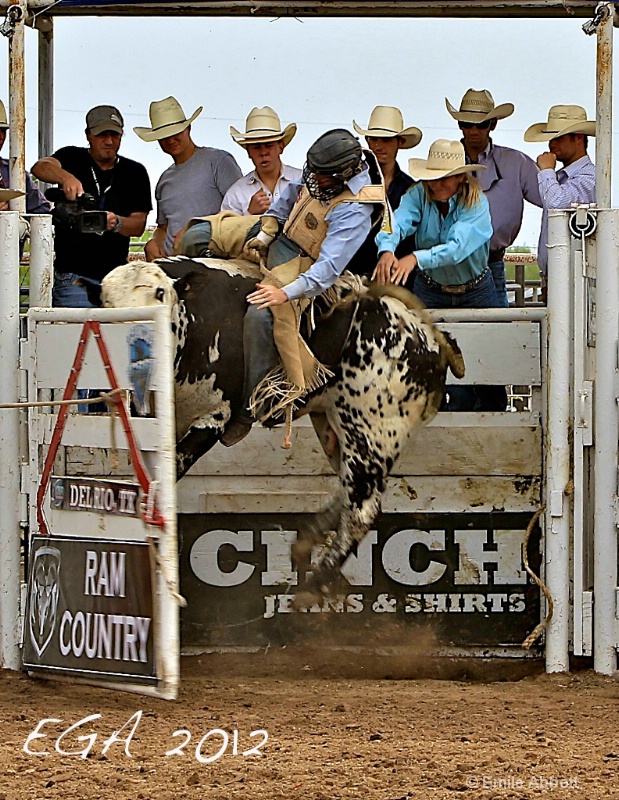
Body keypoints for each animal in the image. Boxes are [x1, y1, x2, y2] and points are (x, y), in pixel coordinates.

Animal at [100, 256, 464, 608]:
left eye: (160, 294)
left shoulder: (212, 419)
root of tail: (429, 336)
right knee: (350, 495)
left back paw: (313, 586)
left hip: (370, 431)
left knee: (362, 510)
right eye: (104, 301)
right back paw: (306, 543)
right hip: (334, 424)